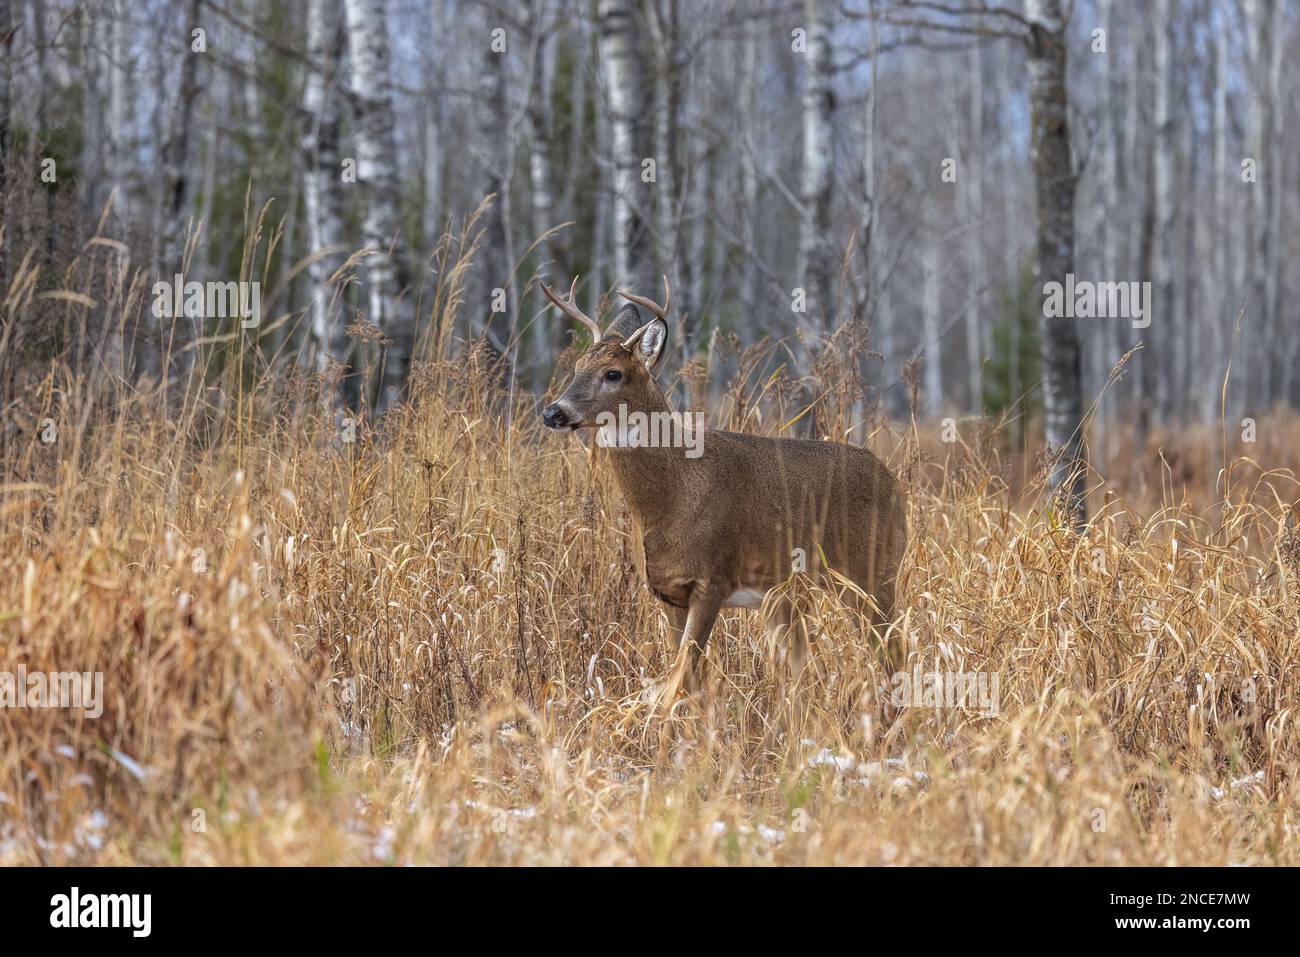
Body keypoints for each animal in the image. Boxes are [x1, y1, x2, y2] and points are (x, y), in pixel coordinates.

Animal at [538, 274, 904, 686]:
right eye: (576, 367)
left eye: (613, 373)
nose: (553, 412)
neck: (673, 497)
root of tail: (895, 483)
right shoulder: (668, 593)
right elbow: (689, 681)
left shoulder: (712, 580)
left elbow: (680, 677)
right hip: (793, 596)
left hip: (873, 571)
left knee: (893, 652)